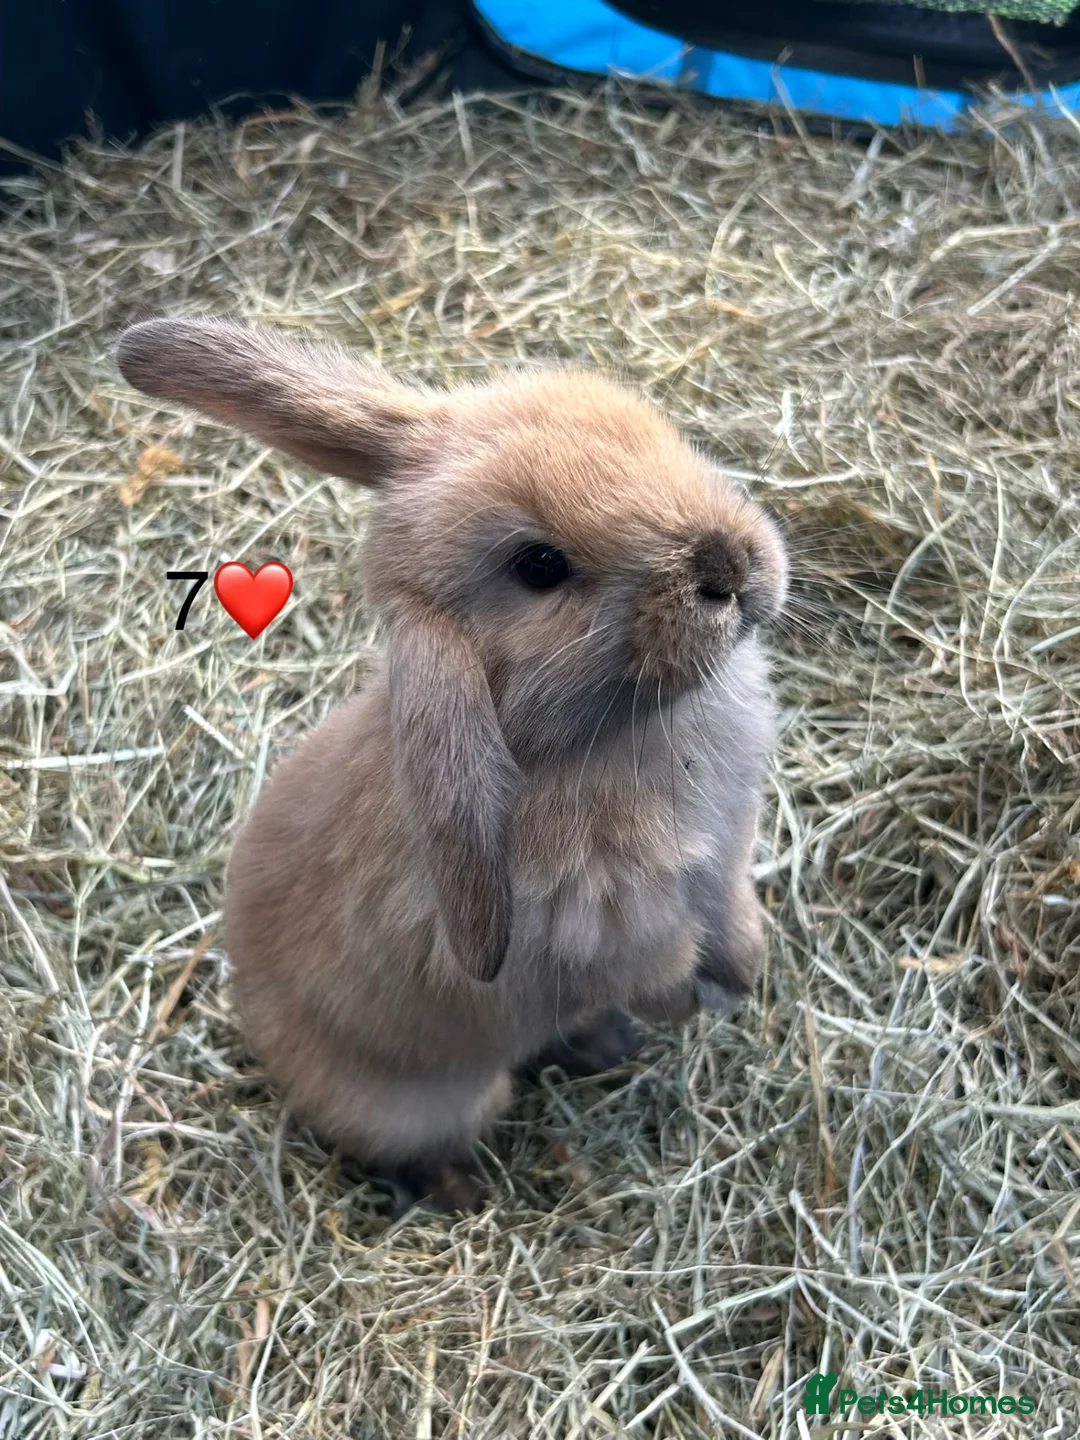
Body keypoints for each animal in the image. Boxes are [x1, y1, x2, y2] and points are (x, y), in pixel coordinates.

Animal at [117, 317, 787, 1213]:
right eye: (539, 567)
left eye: (639, 426)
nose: (727, 566)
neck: (593, 731)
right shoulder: (610, 934)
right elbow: (656, 968)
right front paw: (691, 1003)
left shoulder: (726, 854)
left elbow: (733, 910)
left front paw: (747, 971)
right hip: (431, 1100)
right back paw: (469, 1189)